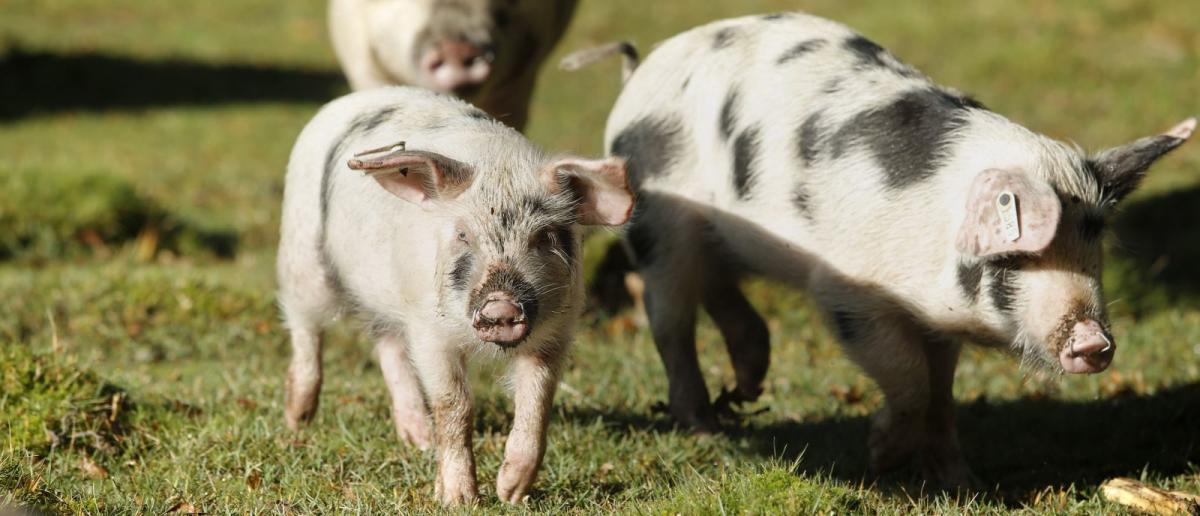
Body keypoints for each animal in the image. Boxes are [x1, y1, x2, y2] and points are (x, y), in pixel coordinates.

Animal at [276, 85, 633, 504]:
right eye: (463, 234)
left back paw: (418, 441)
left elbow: (537, 403)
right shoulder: (430, 332)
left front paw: (510, 493)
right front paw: (460, 499)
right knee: (306, 329)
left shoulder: (555, 335)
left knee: (388, 345)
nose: (501, 304)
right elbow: (455, 406)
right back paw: (298, 420)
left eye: (543, 236)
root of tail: (352, 99)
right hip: (302, 257)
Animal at [576, 13, 1195, 487]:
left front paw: (961, 481)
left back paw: (750, 385)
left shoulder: (940, 321)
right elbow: (910, 379)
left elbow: (942, 392)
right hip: (659, 226)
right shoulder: (848, 295)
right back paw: (704, 424)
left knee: (718, 288)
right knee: (670, 320)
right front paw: (881, 457)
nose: (1094, 342)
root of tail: (639, 74)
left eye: (1095, 247)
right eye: (1014, 258)